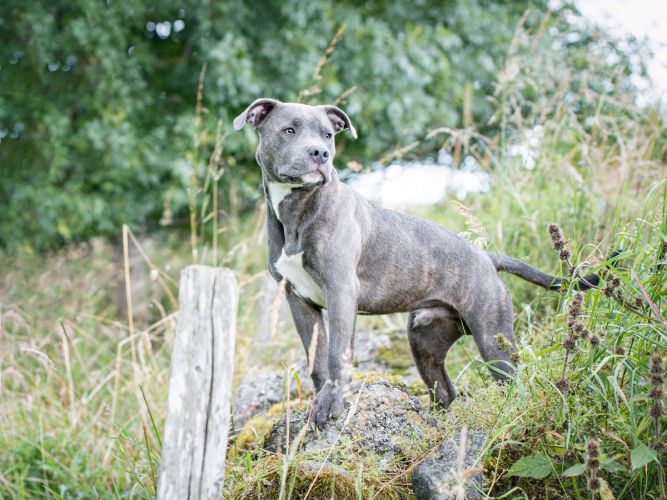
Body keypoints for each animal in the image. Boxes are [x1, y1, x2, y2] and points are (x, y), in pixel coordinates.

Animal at [235, 99, 600, 428]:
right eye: (289, 130)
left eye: (328, 135)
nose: (320, 154)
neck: (297, 210)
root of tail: (487, 256)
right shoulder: (298, 300)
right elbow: (316, 360)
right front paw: (318, 399)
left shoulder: (340, 291)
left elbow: (337, 354)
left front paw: (331, 404)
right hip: (425, 341)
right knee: (445, 391)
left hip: (493, 337)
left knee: (512, 383)